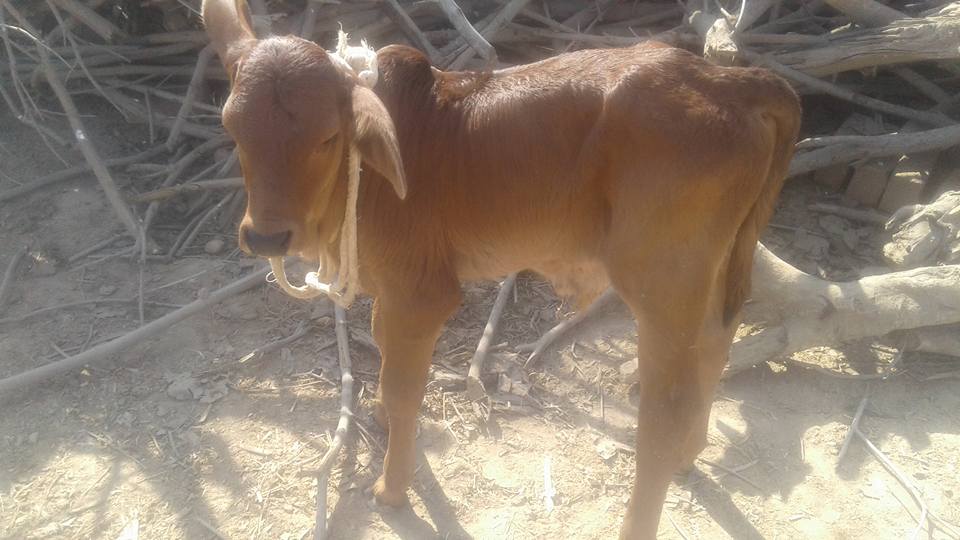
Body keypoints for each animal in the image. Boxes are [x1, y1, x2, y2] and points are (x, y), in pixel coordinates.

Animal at [199, 2, 800, 536]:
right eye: (233, 128)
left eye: (327, 136)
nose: (267, 236)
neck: (366, 177)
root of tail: (729, 80)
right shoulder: (390, 288)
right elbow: (384, 353)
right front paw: (379, 420)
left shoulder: (422, 292)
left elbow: (403, 387)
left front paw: (393, 487)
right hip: (714, 265)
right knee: (716, 343)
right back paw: (688, 454)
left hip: (661, 277)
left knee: (665, 409)